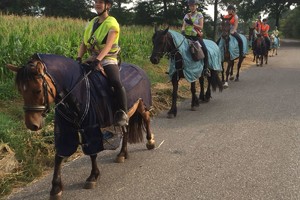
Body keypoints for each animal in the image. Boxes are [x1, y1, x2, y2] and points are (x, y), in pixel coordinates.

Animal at [6, 53, 156, 200]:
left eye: (37, 90)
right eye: (20, 90)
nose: (32, 124)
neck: (75, 90)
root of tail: (139, 69)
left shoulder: (90, 127)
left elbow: (92, 152)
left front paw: (93, 176)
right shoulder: (64, 130)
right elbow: (59, 156)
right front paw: (56, 188)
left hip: (141, 104)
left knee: (147, 119)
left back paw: (150, 142)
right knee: (125, 131)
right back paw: (122, 154)